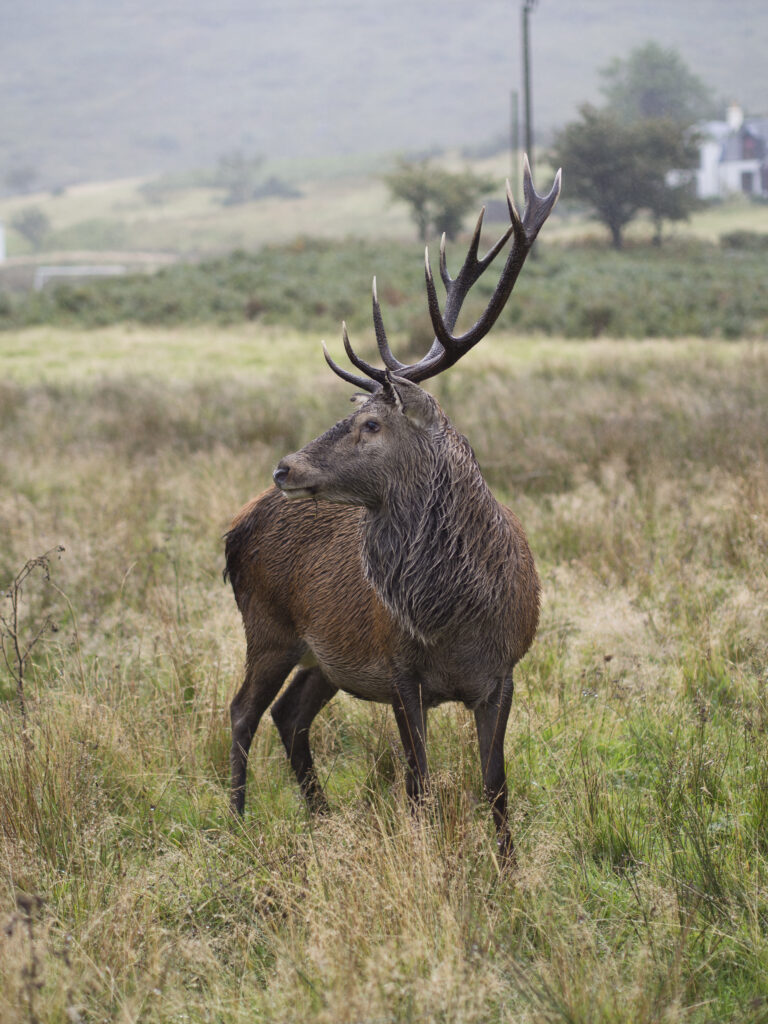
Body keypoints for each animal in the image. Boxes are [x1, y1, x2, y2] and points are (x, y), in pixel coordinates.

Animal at [225, 158, 561, 861]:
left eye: (371, 424)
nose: (285, 467)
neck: (456, 618)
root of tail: (233, 531)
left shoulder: (505, 673)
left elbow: (496, 786)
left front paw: (509, 870)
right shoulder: (402, 672)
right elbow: (418, 783)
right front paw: (425, 855)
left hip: (321, 655)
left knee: (287, 714)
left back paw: (321, 817)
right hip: (267, 627)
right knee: (242, 711)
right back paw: (237, 821)